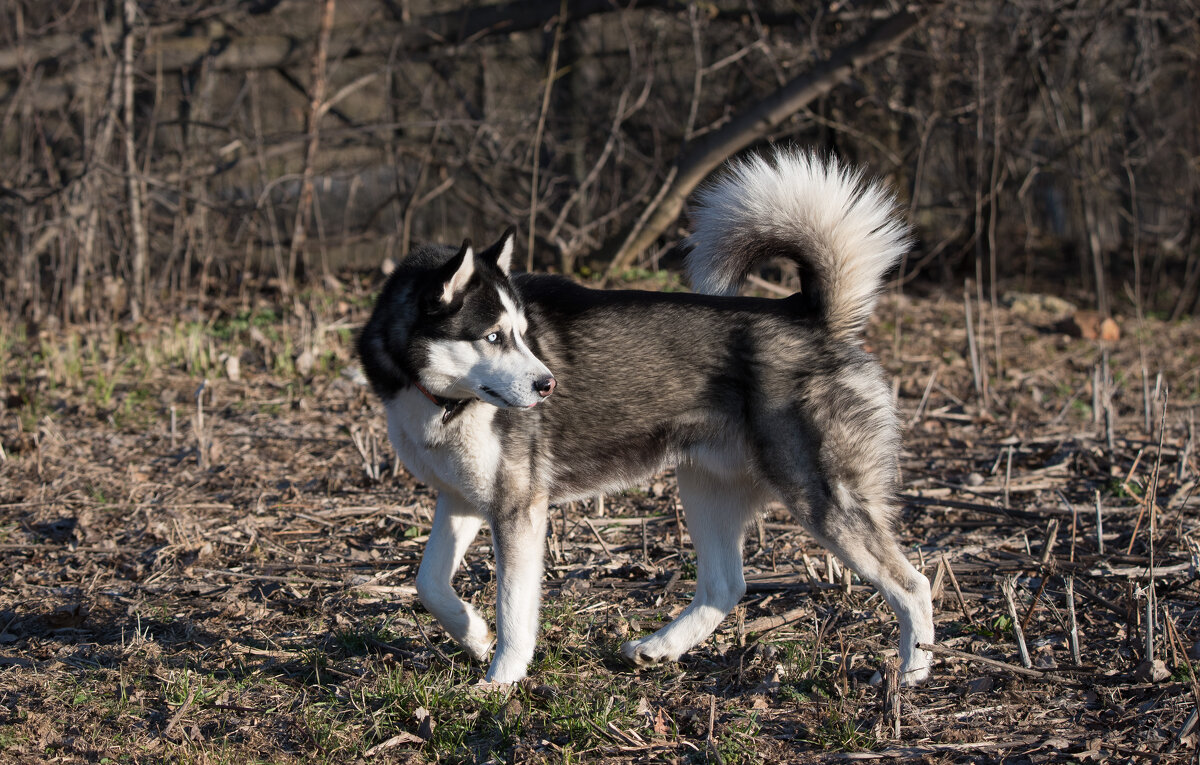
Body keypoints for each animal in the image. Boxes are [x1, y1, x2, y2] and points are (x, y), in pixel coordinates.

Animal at [355, 149, 936, 690]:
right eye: (494, 336)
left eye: (520, 333)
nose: (548, 385)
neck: (438, 399)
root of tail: (807, 313)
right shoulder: (463, 499)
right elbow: (428, 583)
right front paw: (474, 635)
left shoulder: (518, 508)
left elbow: (515, 610)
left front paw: (501, 680)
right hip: (705, 488)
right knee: (725, 586)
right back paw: (659, 648)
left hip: (824, 500)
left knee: (913, 583)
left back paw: (911, 672)